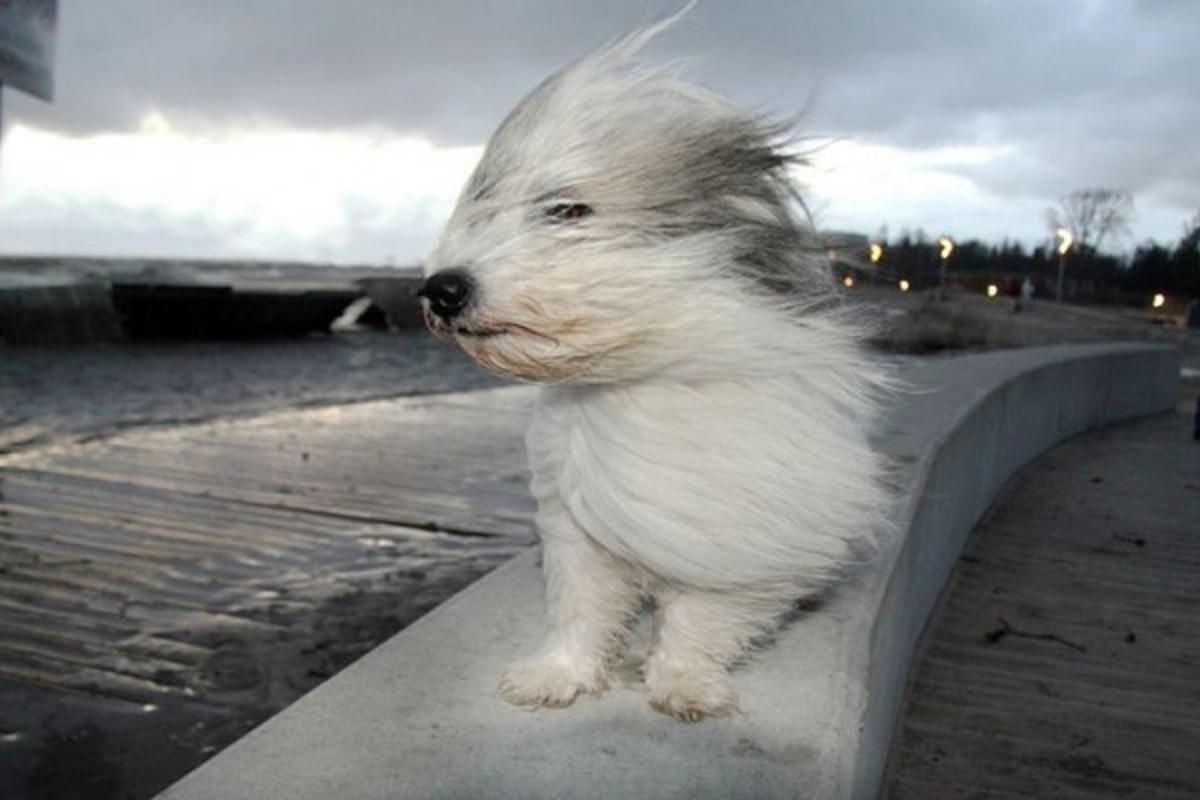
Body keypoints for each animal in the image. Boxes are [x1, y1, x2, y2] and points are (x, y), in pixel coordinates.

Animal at [422, 18, 892, 724]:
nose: (440, 289)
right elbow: (580, 610)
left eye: (567, 210)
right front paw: (558, 675)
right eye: (485, 206)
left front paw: (684, 684)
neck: (637, 373)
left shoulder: (730, 531)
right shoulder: (575, 528)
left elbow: (702, 618)